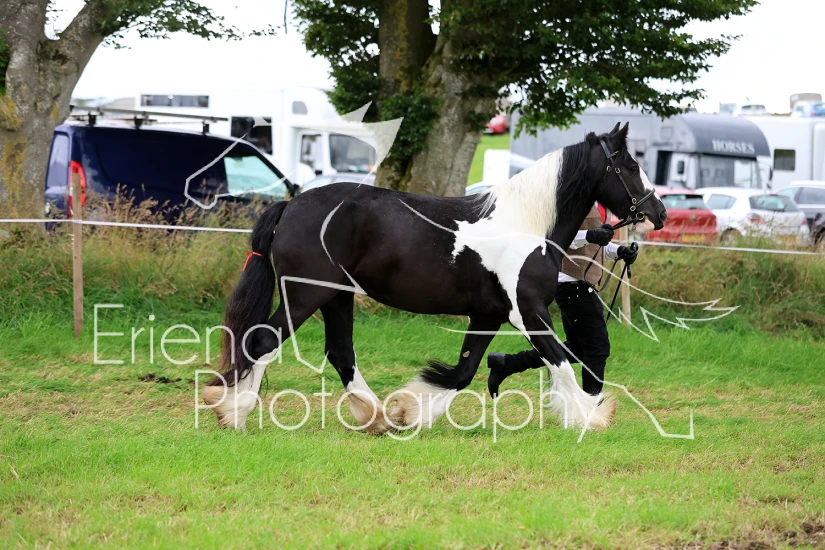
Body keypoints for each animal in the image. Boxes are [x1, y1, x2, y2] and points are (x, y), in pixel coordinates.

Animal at [202, 122, 667, 433]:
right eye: (629, 165)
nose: (658, 212)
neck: (526, 225)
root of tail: (291, 206)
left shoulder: (488, 316)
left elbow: (463, 372)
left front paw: (409, 412)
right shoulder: (529, 312)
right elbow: (562, 362)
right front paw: (591, 417)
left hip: (336, 296)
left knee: (340, 353)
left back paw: (377, 418)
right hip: (305, 295)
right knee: (263, 341)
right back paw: (234, 414)